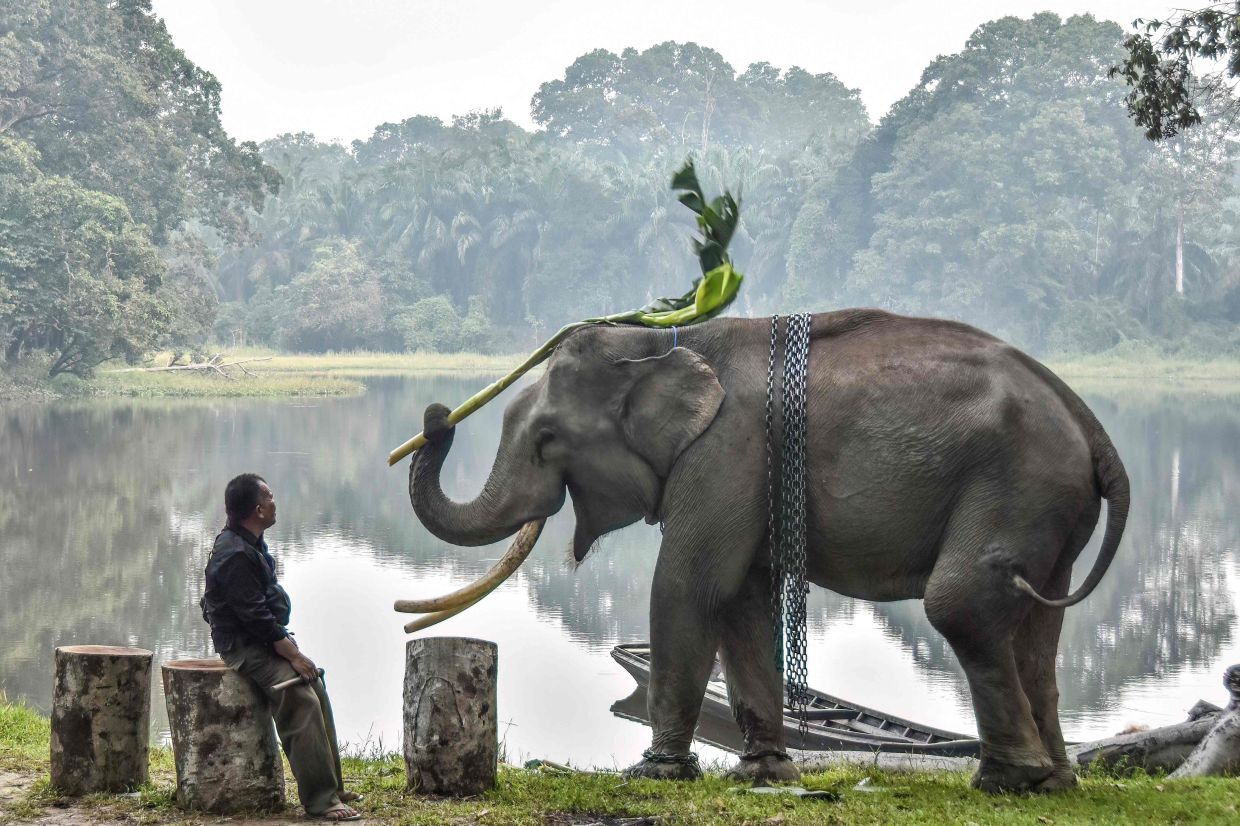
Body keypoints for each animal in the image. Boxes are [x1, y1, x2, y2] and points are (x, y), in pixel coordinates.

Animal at [407, 308, 1129, 793]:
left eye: (548, 438)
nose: (436, 417)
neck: (668, 342)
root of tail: (1091, 424)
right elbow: (742, 598)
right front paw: (762, 773)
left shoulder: (728, 450)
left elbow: (688, 584)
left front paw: (656, 774)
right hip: (1051, 511)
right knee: (1037, 627)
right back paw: (1058, 782)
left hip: (1016, 484)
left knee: (962, 603)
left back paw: (1008, 781)